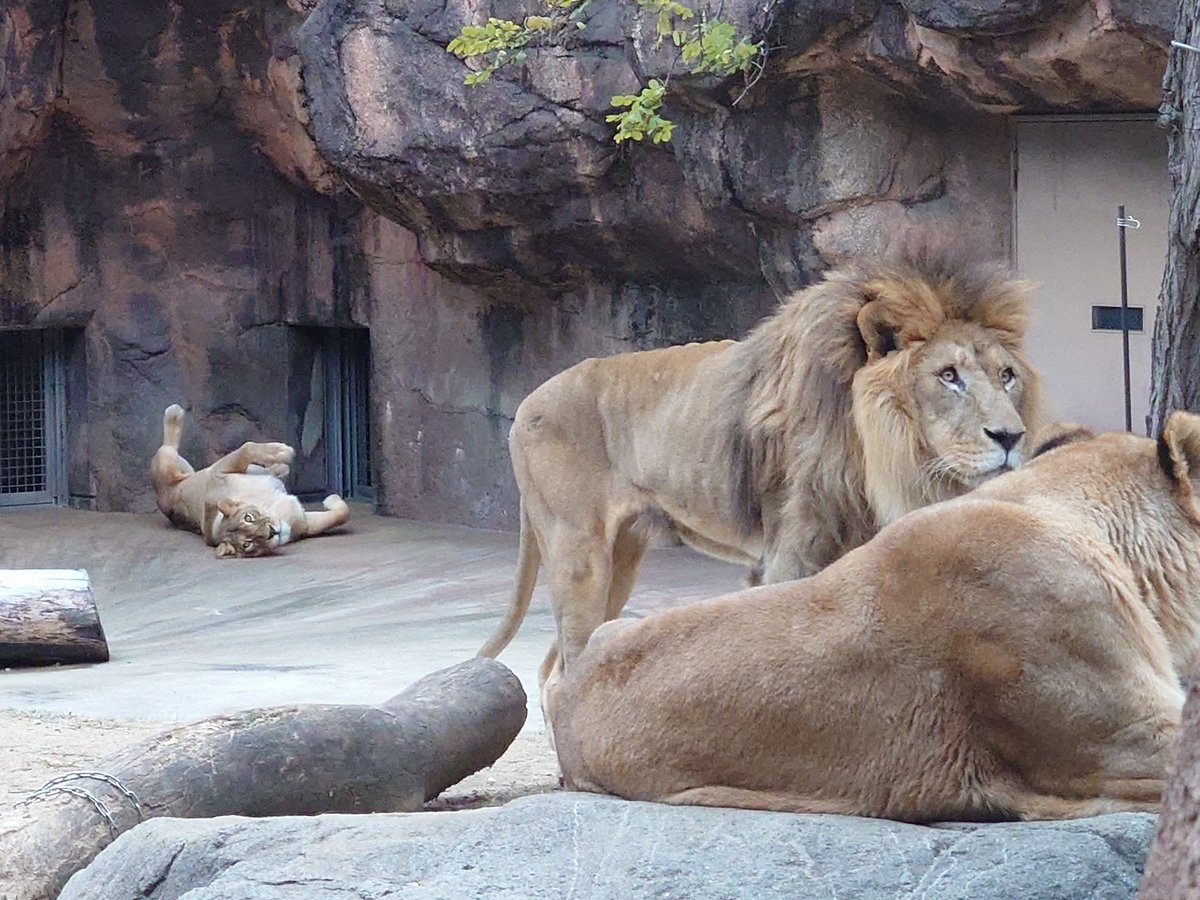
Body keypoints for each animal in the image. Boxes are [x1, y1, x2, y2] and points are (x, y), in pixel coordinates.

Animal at [150, 404, 350, 558]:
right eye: (248, 544)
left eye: (248, 517)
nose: (272, 532)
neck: (272, 507)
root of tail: (160, 497)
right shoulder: (304, 522)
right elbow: (341, 515)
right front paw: (332, 500)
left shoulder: (218, 471)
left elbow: (247, 448)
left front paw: (282, 452)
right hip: (167, 465)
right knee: (167, 446)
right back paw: (174, 413)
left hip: (181, 468)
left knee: (169, 447)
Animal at [479, 253, 1042, 699]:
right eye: (949, 376)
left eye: (1006, 376)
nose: (1011, 437)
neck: (878, 455)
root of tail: (524, 406)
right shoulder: (793, 549)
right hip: (578, 550)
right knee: (568, 665)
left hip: (622, 555)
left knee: (555, 666)